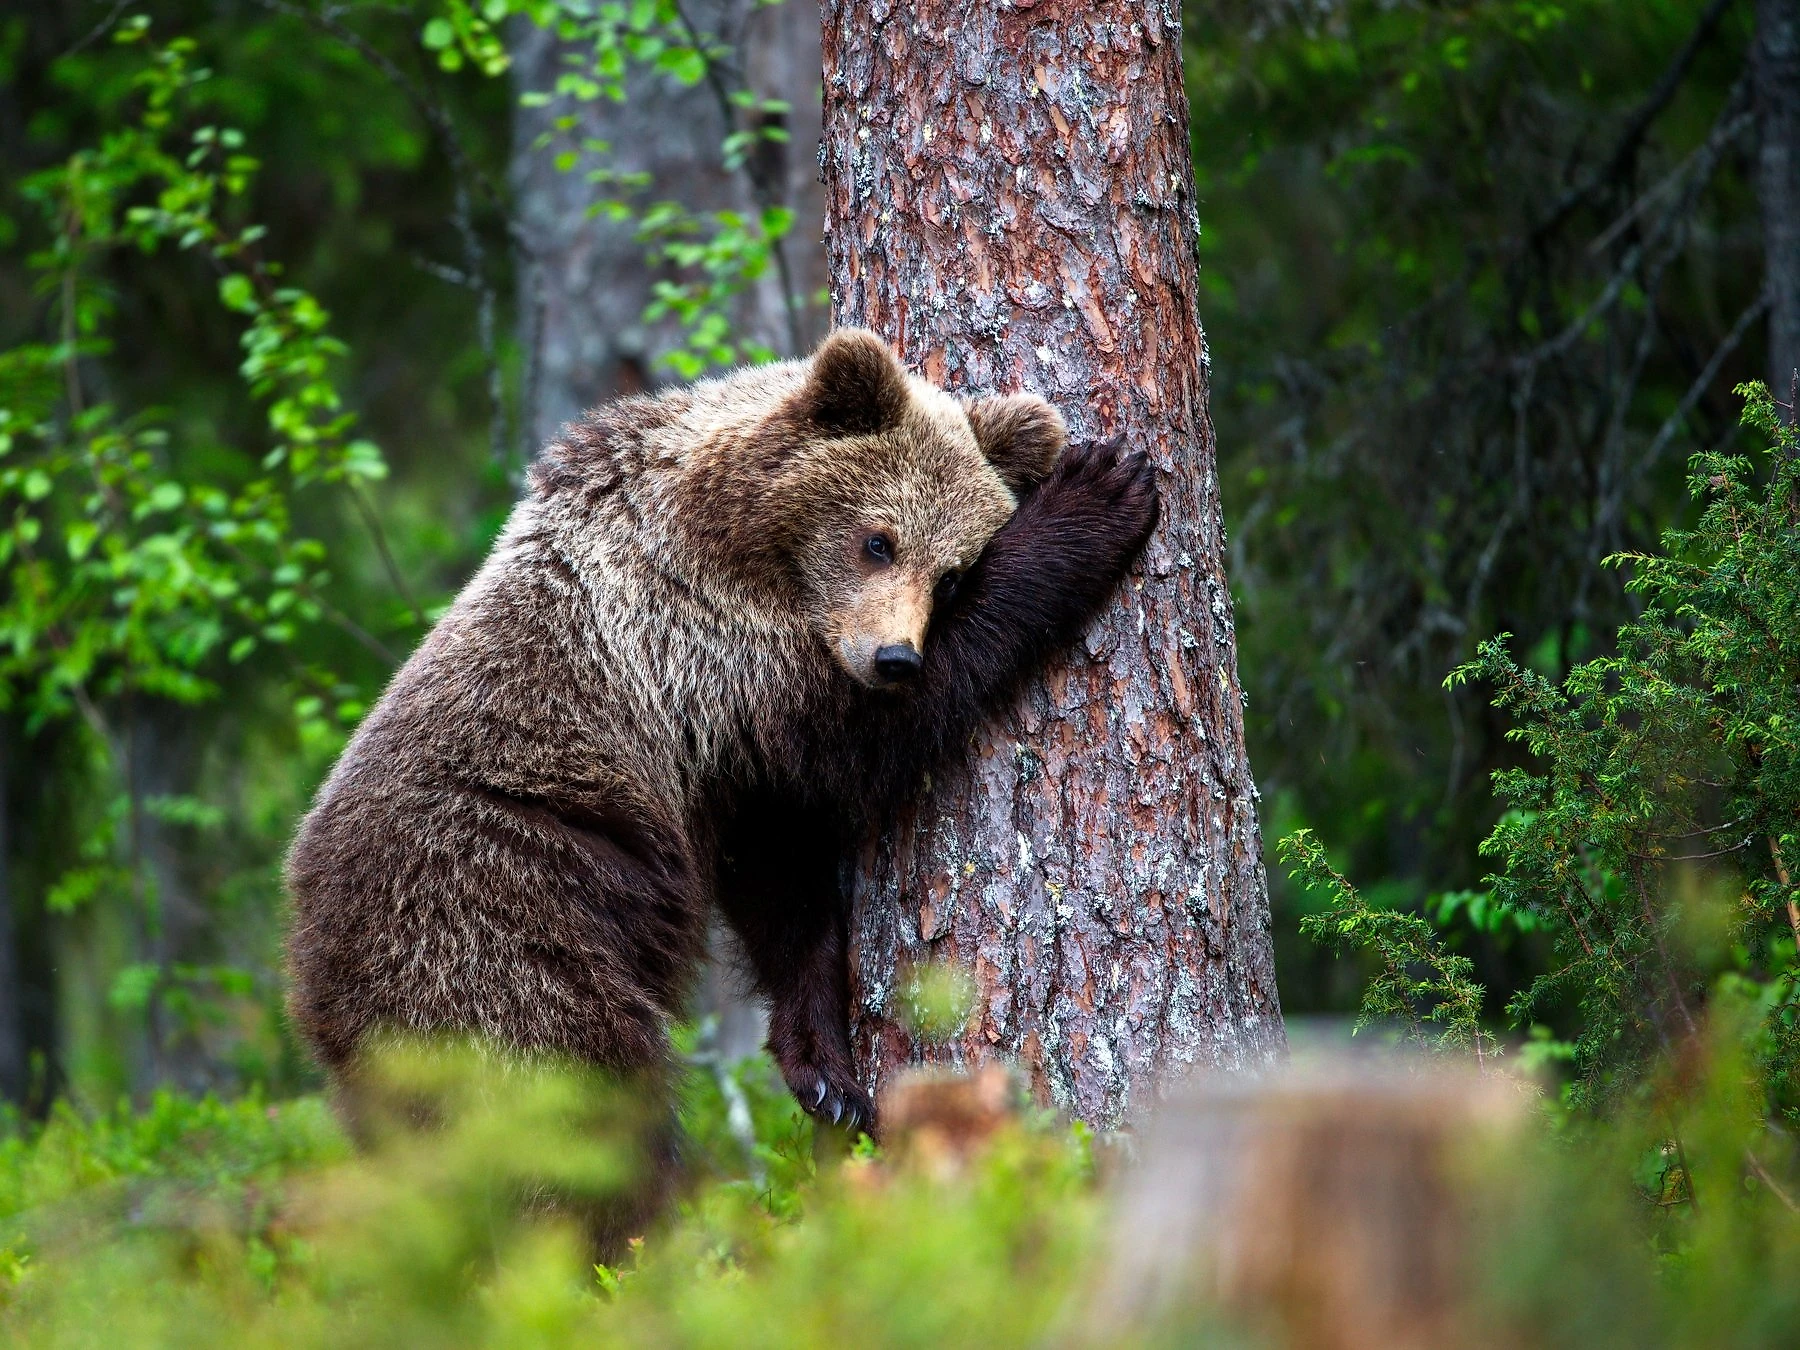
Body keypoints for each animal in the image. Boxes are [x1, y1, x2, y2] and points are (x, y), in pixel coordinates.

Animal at [280, 333, 1152, 1159]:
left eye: (949, 574)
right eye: (879, 541)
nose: (895, 659)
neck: (737, 539)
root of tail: (307, 963)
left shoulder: (728, 755)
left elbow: (780, 878)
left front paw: (826, 1074)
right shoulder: (703, 646)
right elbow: (864, 746)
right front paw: (1097, 497)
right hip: (491, 935)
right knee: (562, 1106)